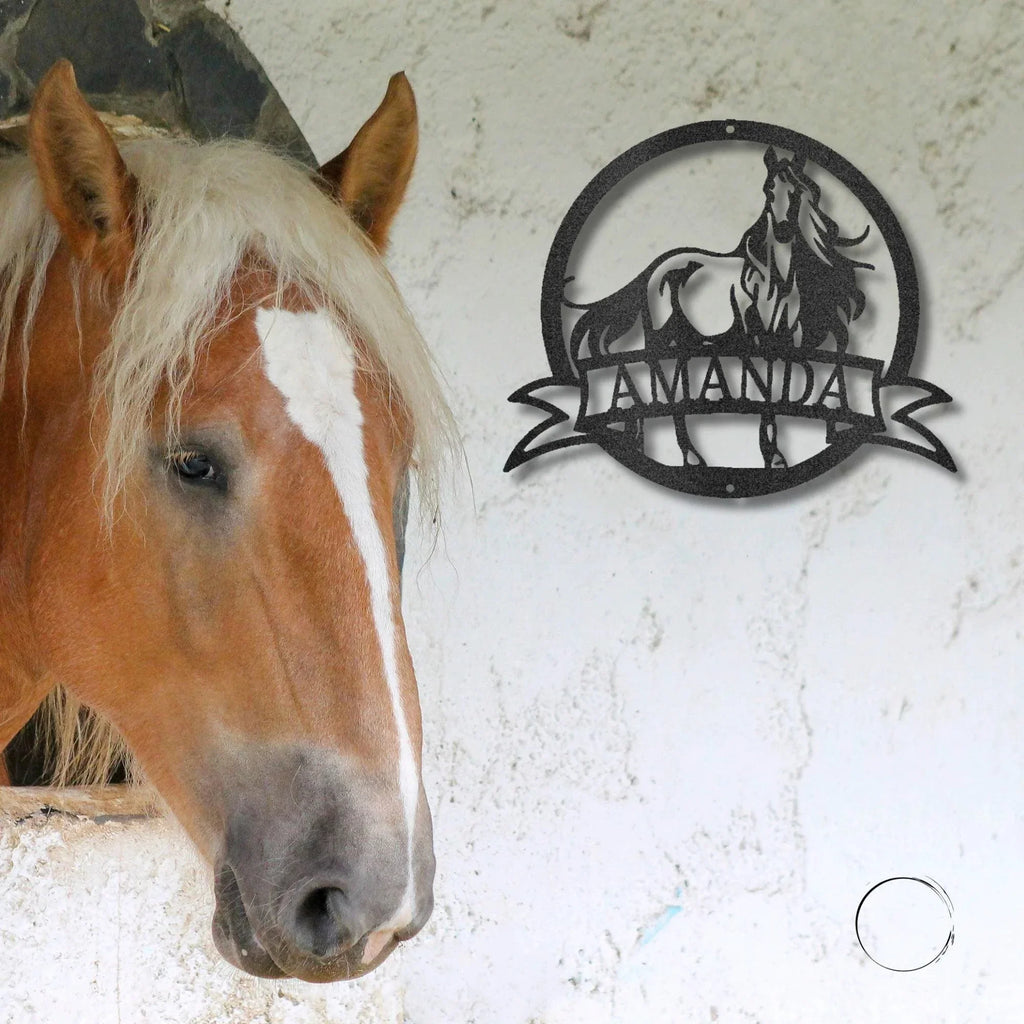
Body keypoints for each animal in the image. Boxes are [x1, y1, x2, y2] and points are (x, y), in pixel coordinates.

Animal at [570, 147, 872, 469]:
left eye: (805, 190)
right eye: (769, 189)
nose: (783, 230)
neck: (773, 277)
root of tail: (655, 269)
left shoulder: (785, 338)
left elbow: (777, 389)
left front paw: (775, 457)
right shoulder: (754, 336)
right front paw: (772, 456)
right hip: (662, 336)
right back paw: (688, 456)